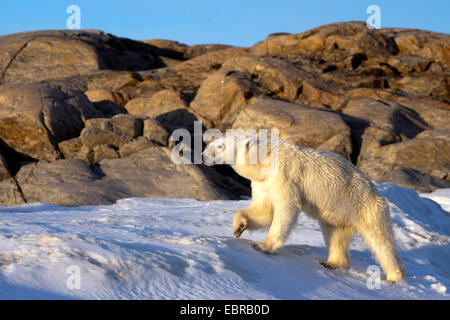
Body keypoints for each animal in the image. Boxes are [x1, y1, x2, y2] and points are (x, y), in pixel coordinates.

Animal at [204, 134, 404, 282]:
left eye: (220, 146)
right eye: (211, 142)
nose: (204, 154)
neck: (265, 158)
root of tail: (375, 191)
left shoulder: (283, 174)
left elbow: (285, 208)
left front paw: (262, 245)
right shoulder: (263, 183)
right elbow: (264, 209)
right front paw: (239, 227)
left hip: (365, 206)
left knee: (381, 241)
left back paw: (394, 275)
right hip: (338, 214)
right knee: (335, 235)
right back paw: (332, 263)